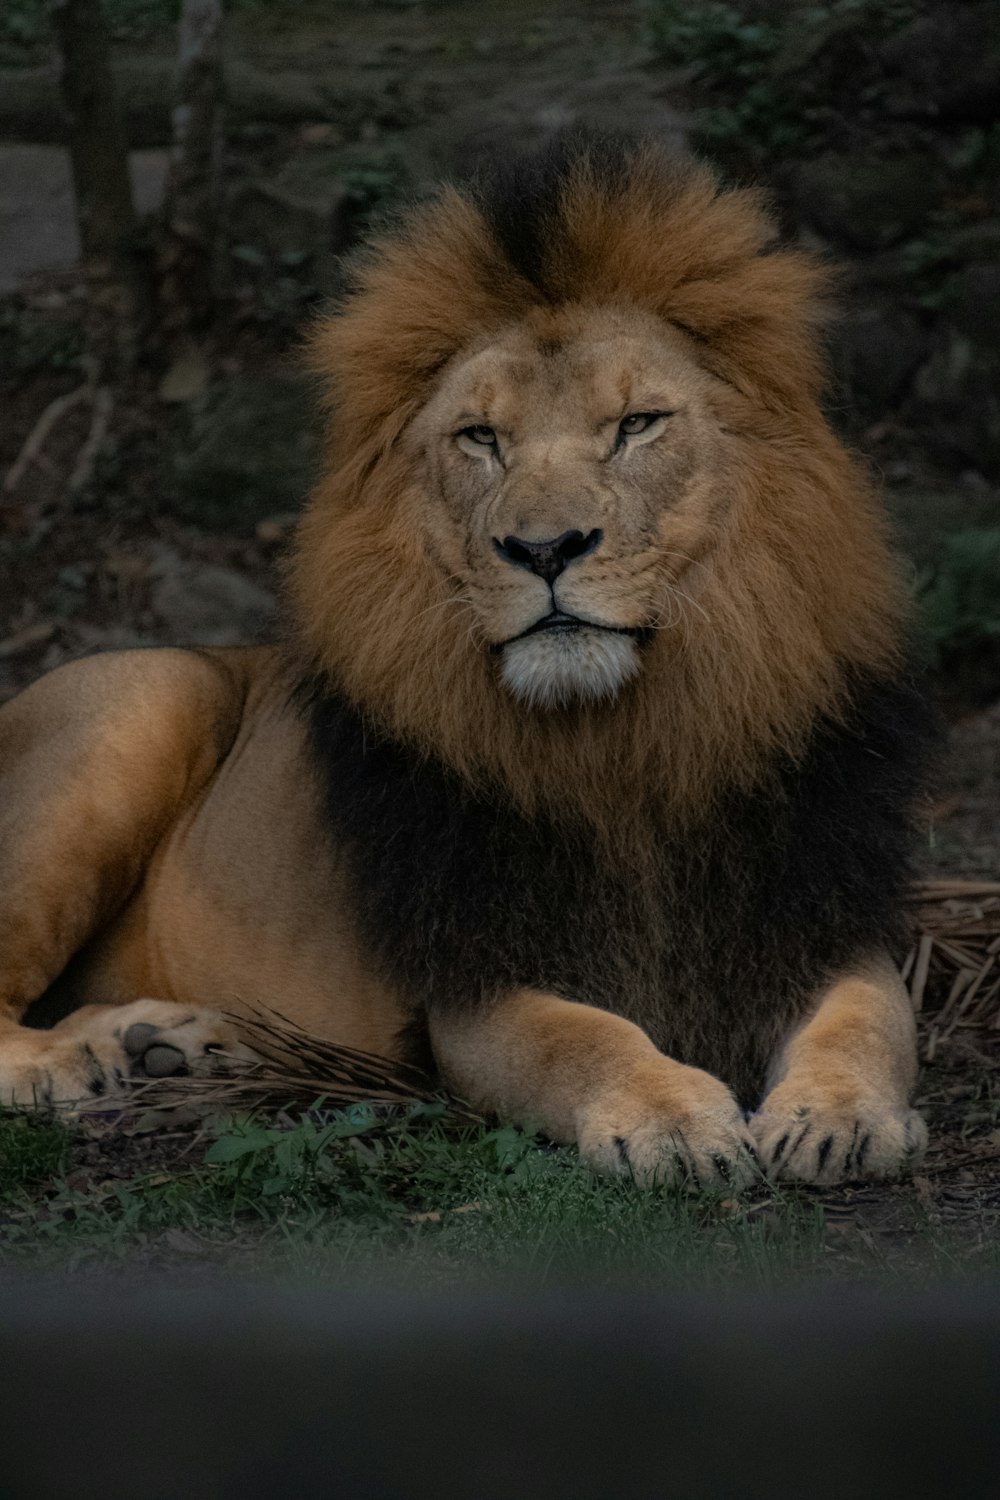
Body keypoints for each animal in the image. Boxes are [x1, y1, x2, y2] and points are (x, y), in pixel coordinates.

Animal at [0, 143, 941, 1194]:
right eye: (481, 439)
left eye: (637, 424)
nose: (544, 548)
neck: (631, 744)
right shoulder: (478, 981)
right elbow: (585, 1039)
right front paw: (672, 1120)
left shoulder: (820, 909)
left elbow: (868, 1021)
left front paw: (840, 1117)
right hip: (146, 695)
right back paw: (74, 1059)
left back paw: (165, 1040)